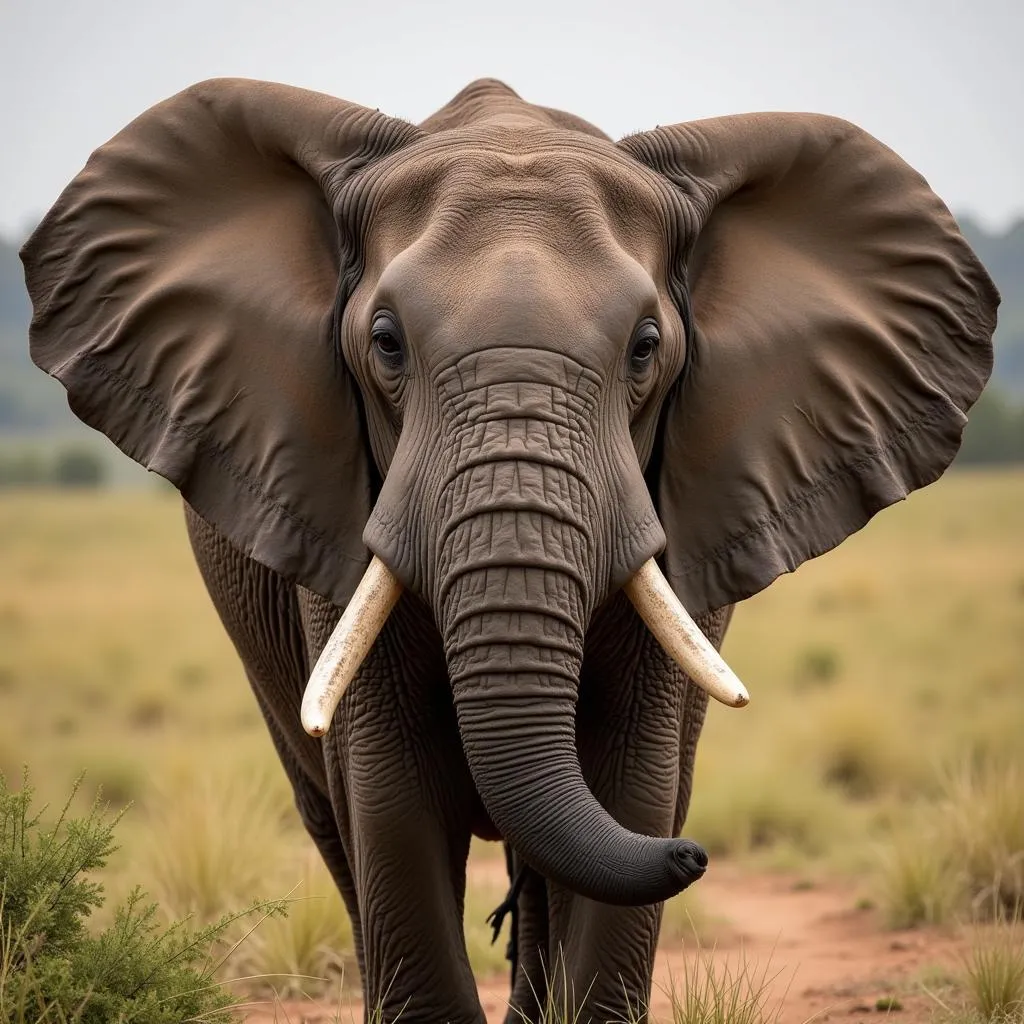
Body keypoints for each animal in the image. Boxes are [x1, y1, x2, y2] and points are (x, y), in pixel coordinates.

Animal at [24, 75, 995, 1019]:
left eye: (647, 348)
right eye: (385, 343)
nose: (694, 856)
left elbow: (632, 780)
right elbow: (391, 798)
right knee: (335, 825)